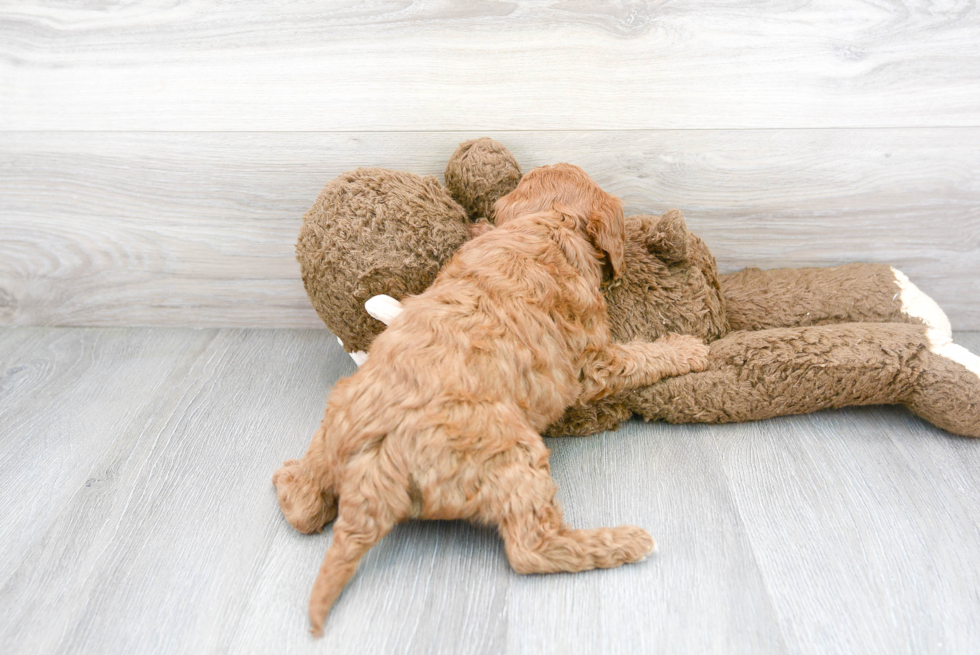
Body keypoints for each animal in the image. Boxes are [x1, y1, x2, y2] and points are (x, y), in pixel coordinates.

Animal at [272, 163, 708, 636]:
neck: (549, 223)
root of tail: (375, 465)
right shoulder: (593, 361)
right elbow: (638, 357)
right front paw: (688, 349)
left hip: (337, 417)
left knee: (303, 506)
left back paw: (288, 477)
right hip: (515, 454)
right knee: (529, 549)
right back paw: (625, 542)